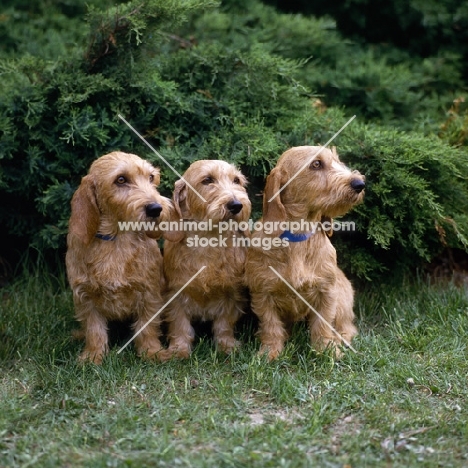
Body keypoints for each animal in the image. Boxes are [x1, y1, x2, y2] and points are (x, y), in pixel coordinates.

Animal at [66, 152, 176, 364]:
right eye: (121, 179)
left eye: (151, 177)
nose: (156, 208)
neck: (117, 240)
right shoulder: (85, 296)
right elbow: (94, 329)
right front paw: (93, 356)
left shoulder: (149, 293)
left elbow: (147, 326)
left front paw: (151, 351)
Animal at [163, 159, 254, 360]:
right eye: (207, 180)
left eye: (236, 180)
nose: (236, 205)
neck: (208, 243)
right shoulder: (175, 292)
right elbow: (180, 325)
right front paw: (179, 349)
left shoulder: (232, 293)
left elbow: (224, 324)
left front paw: (227, 346)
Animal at [245, 145, 366, 358]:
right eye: (316, 164)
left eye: (337, 161)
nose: (359, 183)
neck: (298, 239)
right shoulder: (262, 293)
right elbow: (270, 325)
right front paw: (270, 352)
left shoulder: (327, 292)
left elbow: (322, 324)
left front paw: (326, 349)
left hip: (343, 300)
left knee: (347, 327)